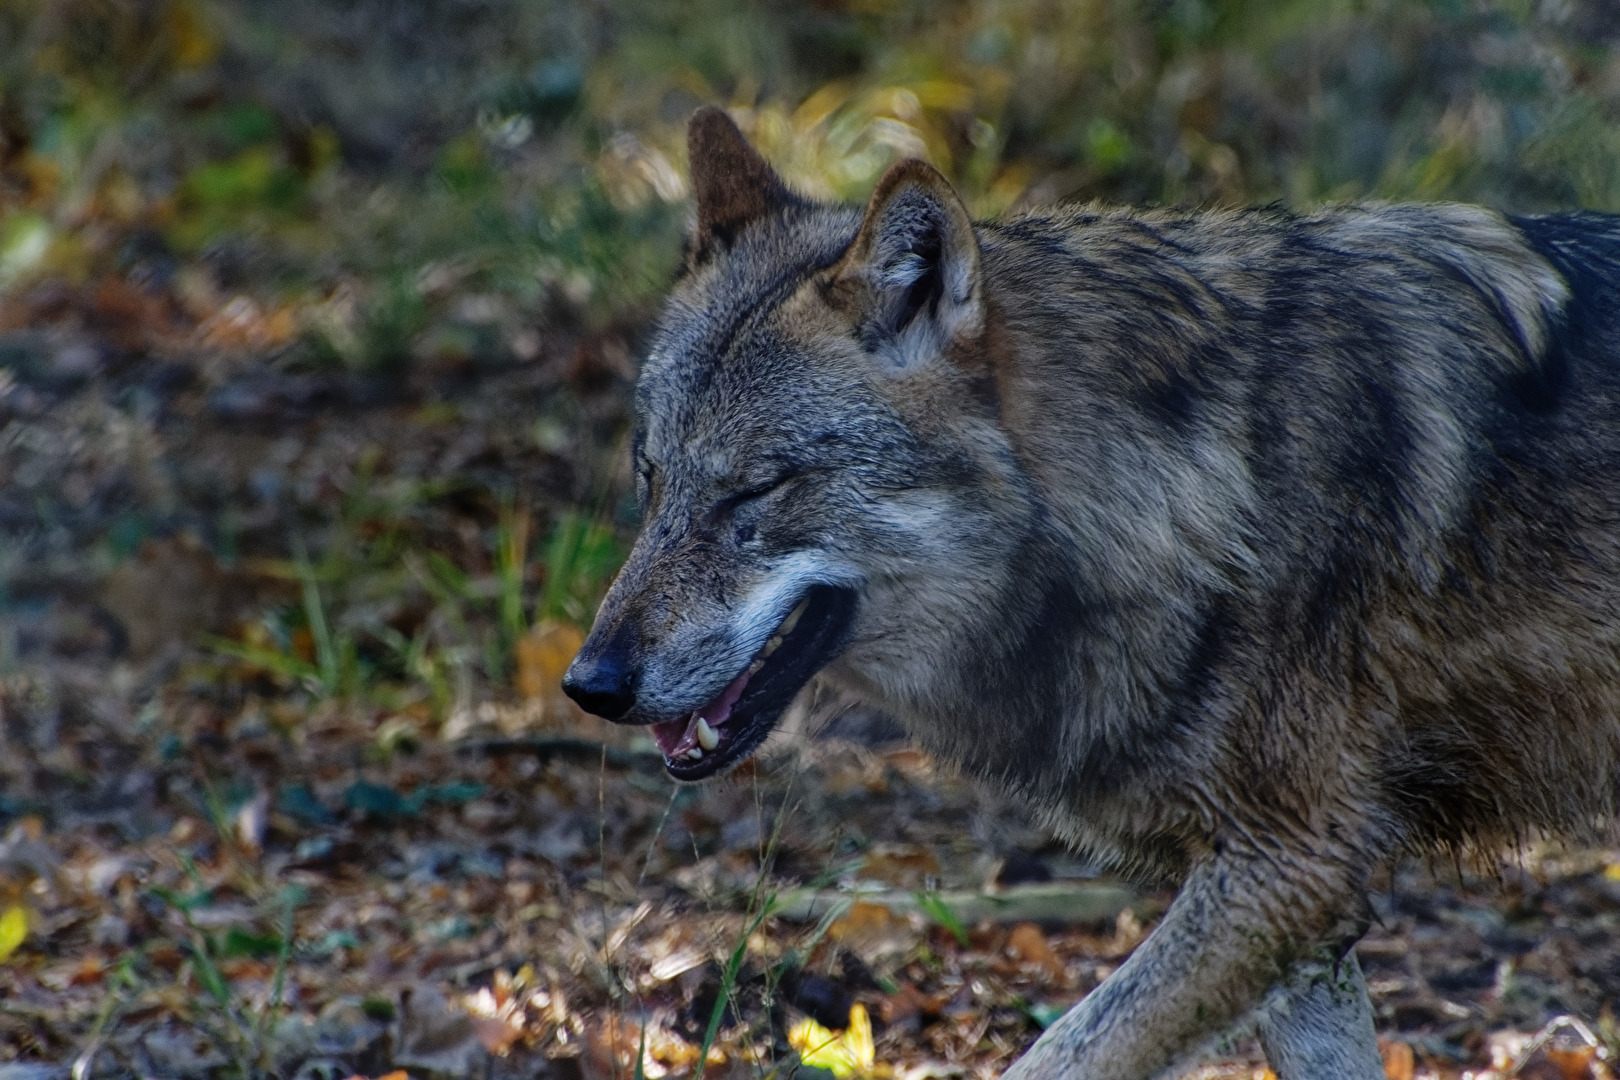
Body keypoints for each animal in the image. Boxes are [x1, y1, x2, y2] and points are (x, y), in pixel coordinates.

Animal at [563, 105, 1620, 1079]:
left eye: (756, 489)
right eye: (652, 478)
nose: (589, 685)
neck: (1210, 480)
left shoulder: (1288, 870)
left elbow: (1059, 1056)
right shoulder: (1296, 907)